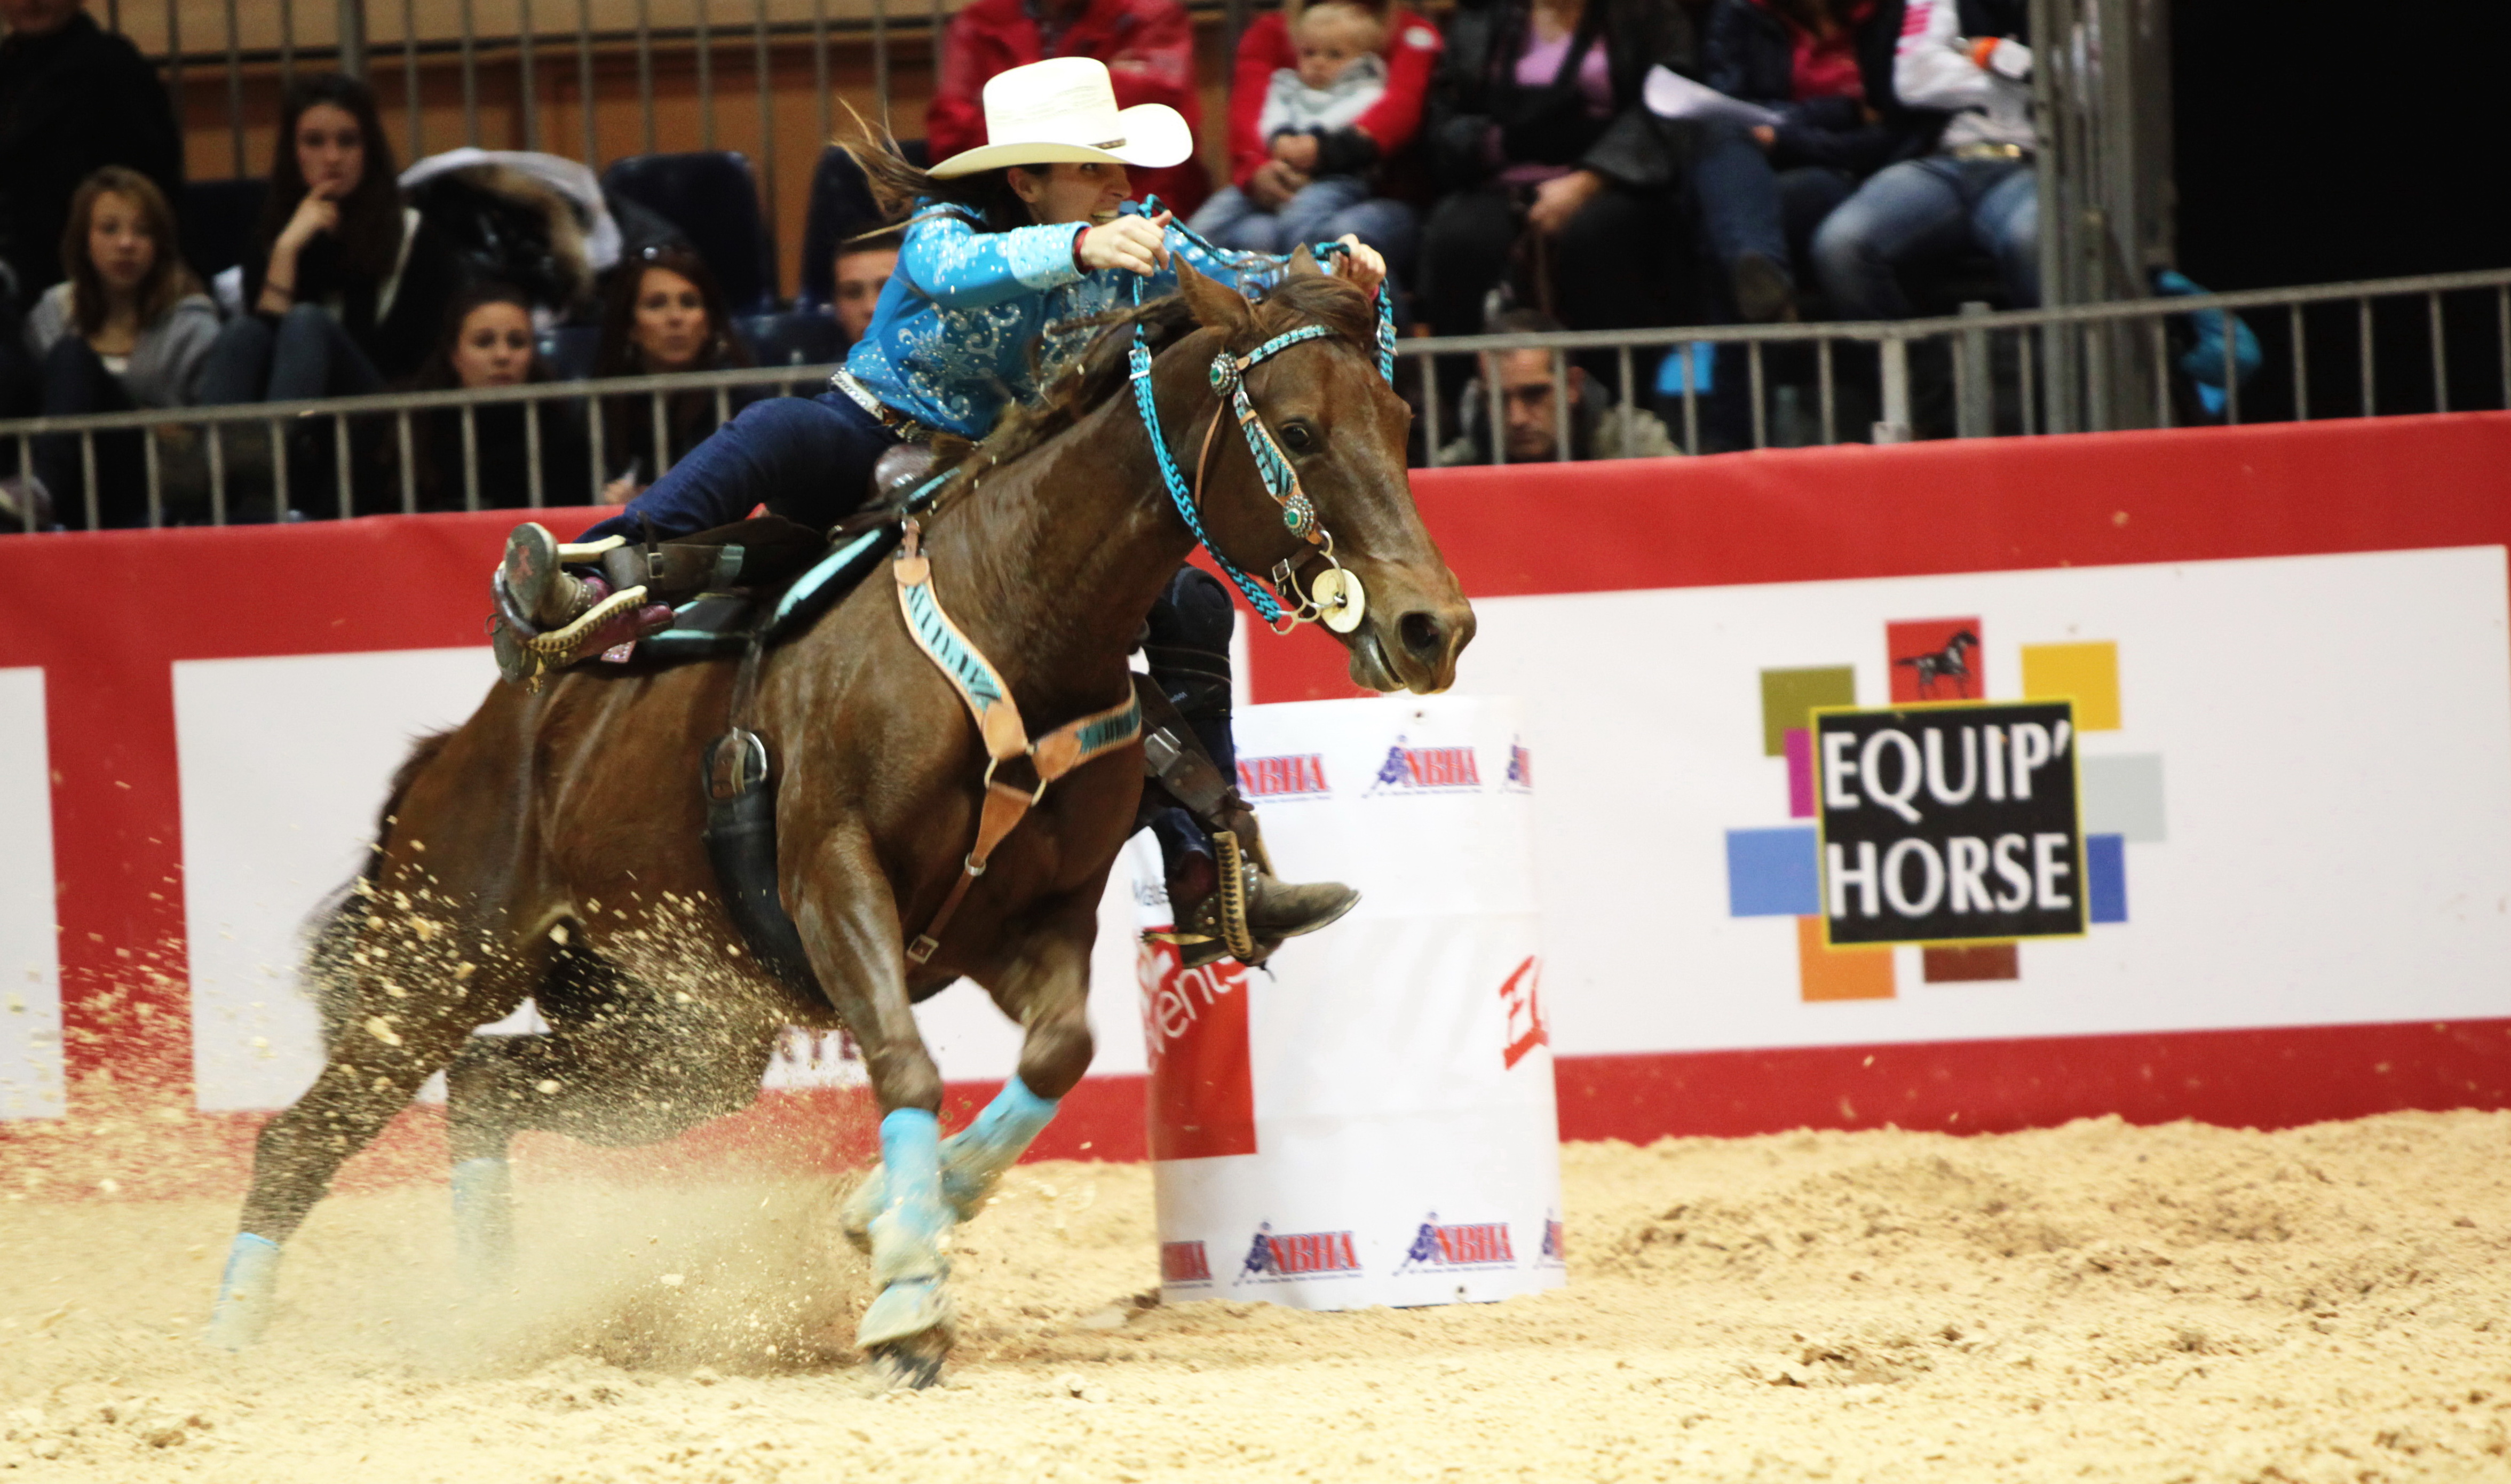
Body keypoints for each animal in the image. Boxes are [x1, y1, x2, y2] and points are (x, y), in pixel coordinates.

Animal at [211, 261, 1466, 1386]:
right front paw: (907, 1295)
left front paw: (891, 1212)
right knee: (303, 1139)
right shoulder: (836, 879)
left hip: (677, 1041)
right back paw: (235, 1337)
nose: (1432, 627)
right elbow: (906, 1068)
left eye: (1402, 419)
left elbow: (1058, 1055)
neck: (1013, 618)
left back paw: (491, 1312)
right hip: (438, 968)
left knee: (484, 1087)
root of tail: (469, 743)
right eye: (1298, 431)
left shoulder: (1030, 921)